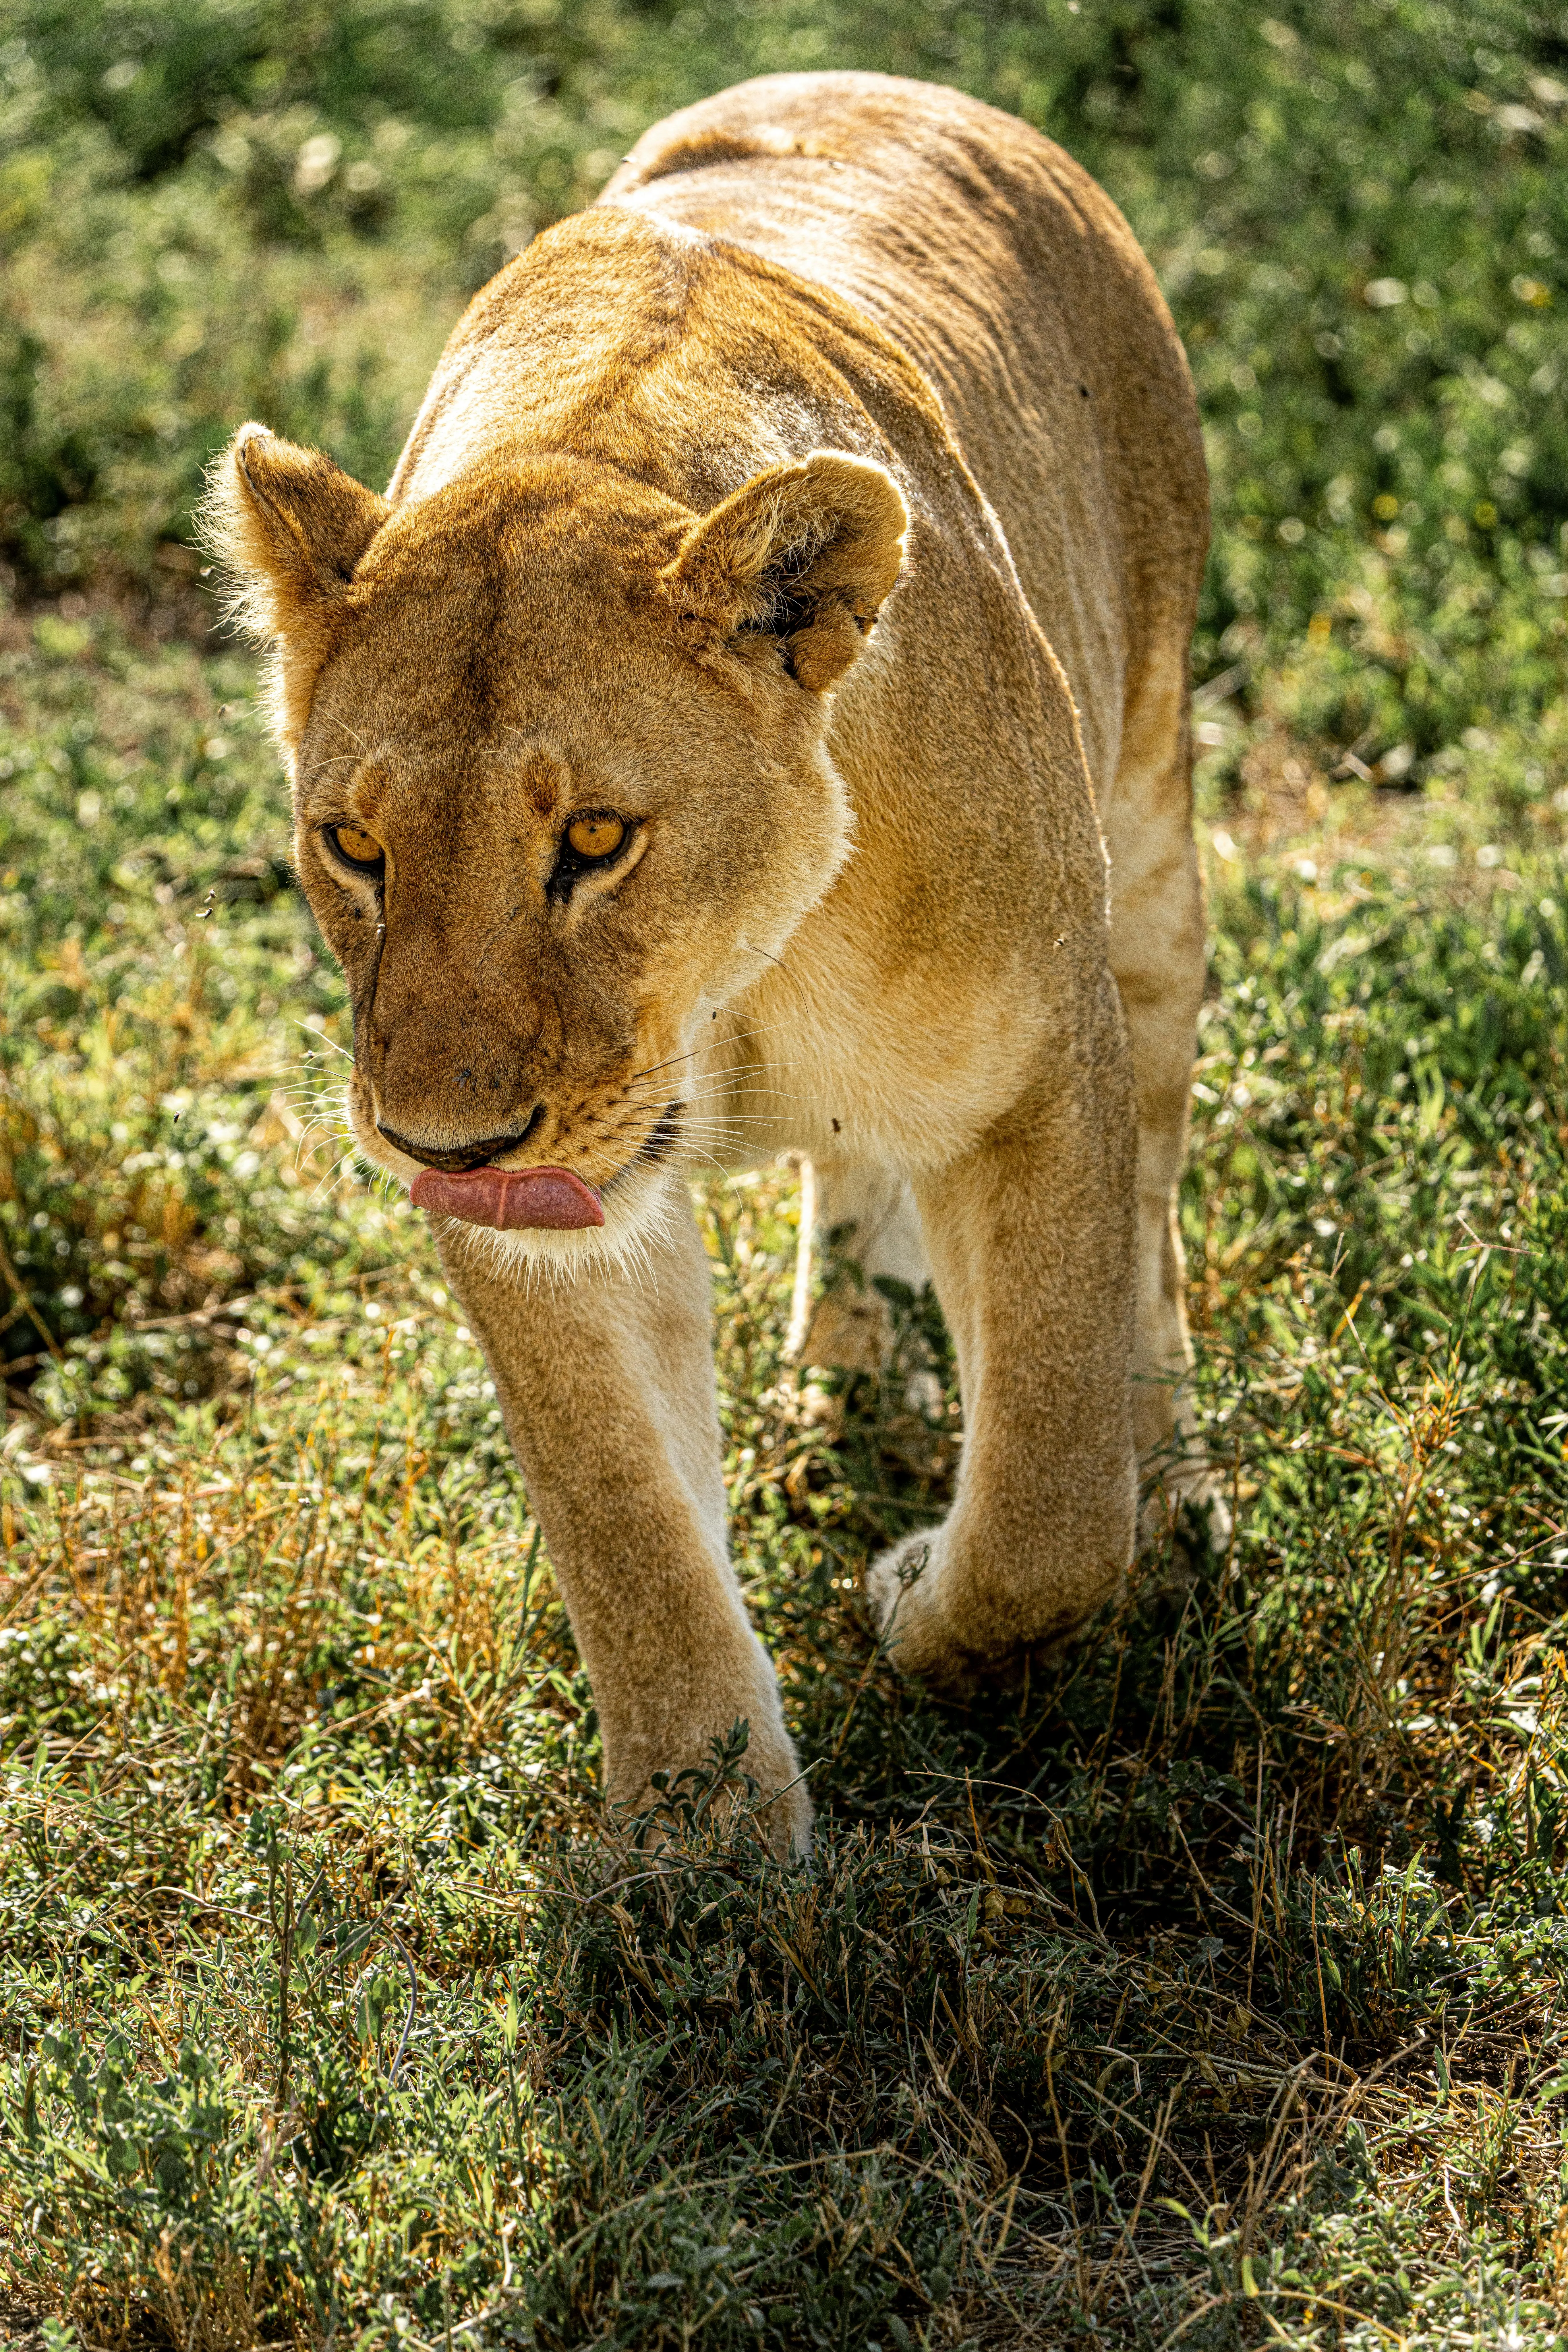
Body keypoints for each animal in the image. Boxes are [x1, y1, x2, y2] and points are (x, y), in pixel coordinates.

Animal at [207, 71, 1216, 1856]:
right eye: (355, 848)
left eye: (597, 839)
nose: (447, 1145)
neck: (733, 990)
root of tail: (906, 85)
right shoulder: (546, 1228)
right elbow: (624, 1522)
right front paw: (708, 1846)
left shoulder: (1040, 1073)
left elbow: (1047, 1492)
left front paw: (919, 1603)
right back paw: (838, 1373)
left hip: (1154, 833)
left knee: (1154, 1201)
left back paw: (1168, 1468)